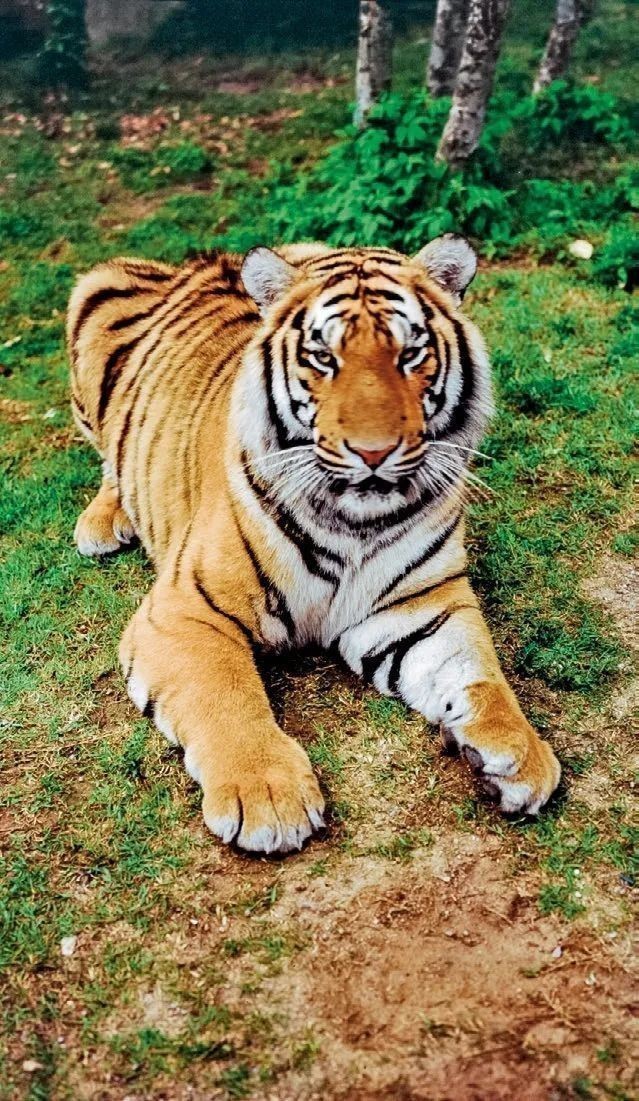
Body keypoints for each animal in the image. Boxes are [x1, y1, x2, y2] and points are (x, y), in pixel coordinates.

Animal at [68, 234, 561, 854]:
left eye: (409, 354)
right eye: (324, 358)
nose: (373, 452)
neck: (356, 520)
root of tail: (198, 261)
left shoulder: (422, 607)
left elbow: (481, 675)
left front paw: (519, 753)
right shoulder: (184, 613)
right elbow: (226, 697)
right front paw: (267, 796)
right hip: (91, 295)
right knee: (109, 458)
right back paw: (102, 523)